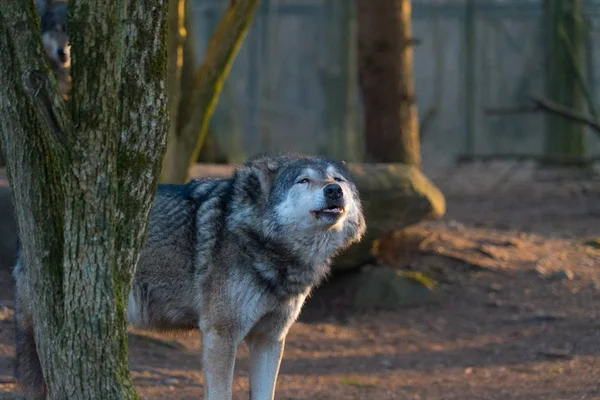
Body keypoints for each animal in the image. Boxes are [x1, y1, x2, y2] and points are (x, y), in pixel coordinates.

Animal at [12, 154, 366, 400]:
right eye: (303, 181)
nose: (335, 191)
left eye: (337, 178)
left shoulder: (270, 339)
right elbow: (221, 393)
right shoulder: (221, 334)